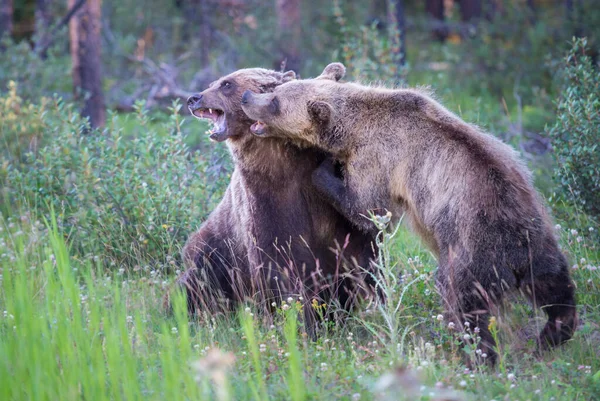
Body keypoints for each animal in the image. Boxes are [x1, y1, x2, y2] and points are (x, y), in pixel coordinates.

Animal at [241, 61, 580, 362]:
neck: (354, 125)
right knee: (557, 292)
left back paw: (478, 356)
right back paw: (551, 336)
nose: (246, 98)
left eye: (275, 102)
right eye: (276, 90)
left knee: (463, 302)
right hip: (541, 242)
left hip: (471, 251)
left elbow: (367, 208)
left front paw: (324, 169)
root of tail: (514, 255)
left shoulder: (378, 158)